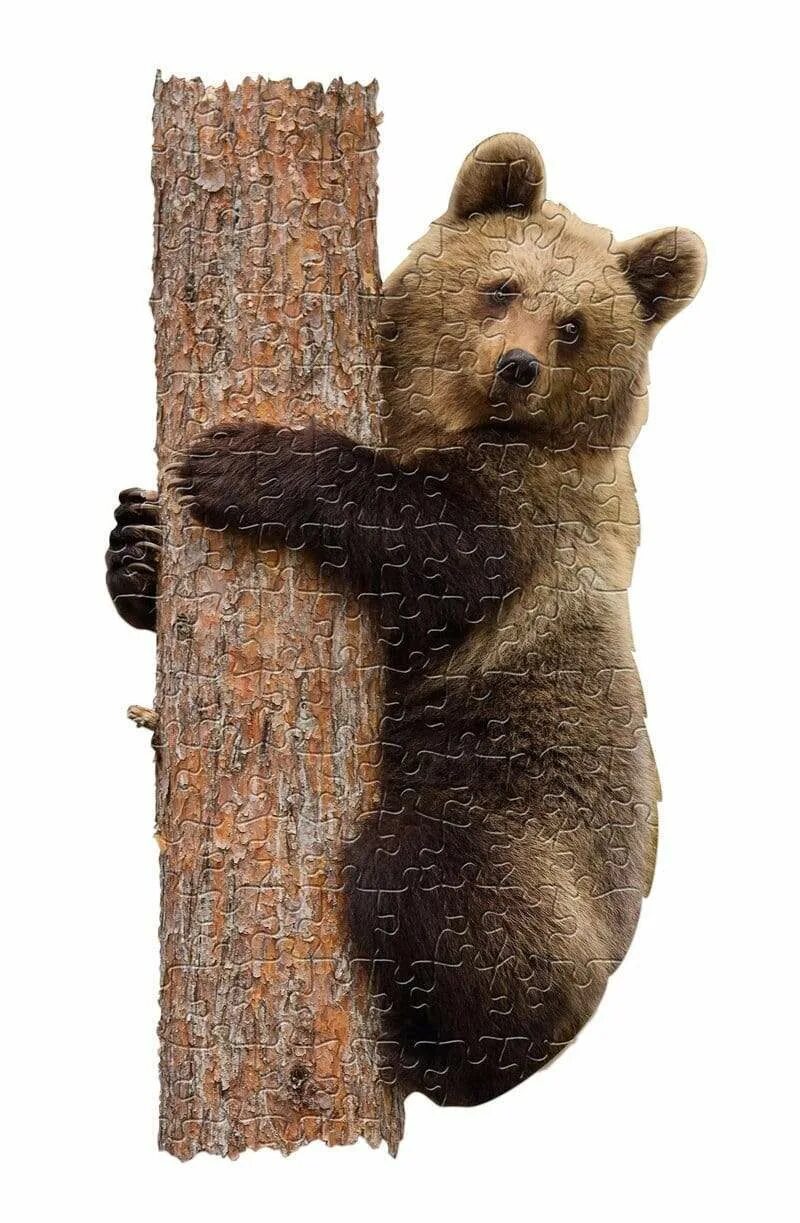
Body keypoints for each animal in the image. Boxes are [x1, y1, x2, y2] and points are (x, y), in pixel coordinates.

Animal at [107, 134, 705, 1107]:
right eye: (501, 286)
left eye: (574, 324)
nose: (516, 367)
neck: (445, 419)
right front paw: (138, 544)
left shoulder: (530, 517)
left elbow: (426, 547)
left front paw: (241, 463)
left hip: (523, 834)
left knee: (424, 880)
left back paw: (447, 1049)